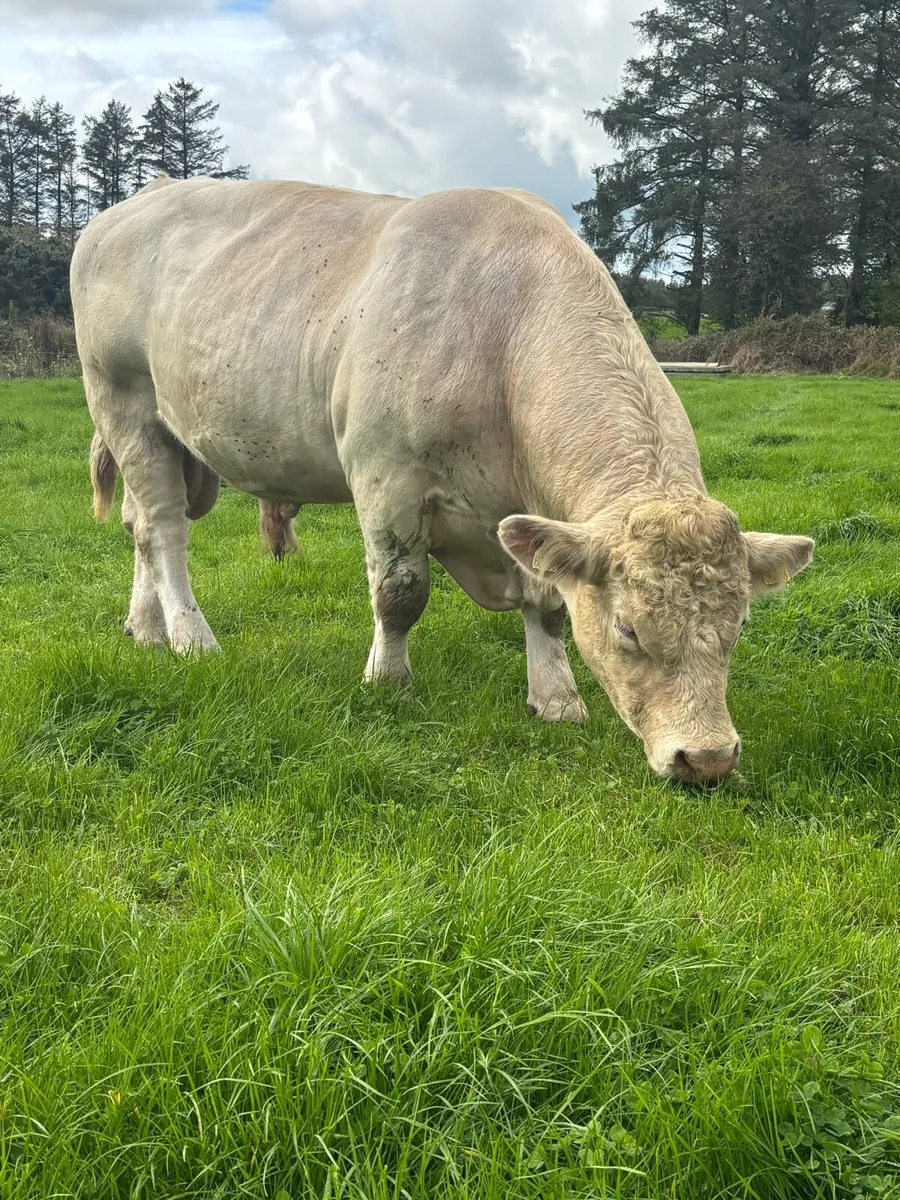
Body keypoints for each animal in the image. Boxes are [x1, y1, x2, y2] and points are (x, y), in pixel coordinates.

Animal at [72, 175, 813, 785]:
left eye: (740, 622)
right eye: (628, 629)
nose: (707, 759)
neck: (499, 334)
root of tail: (137, 200)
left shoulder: (527, 515)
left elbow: (547, 603)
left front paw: (557, 697)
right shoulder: (385, 477)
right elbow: (400, 593)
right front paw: (387, 680)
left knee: (139, 525)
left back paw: (145, 627)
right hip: (125, 401)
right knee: (164, 529)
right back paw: (190, 637)